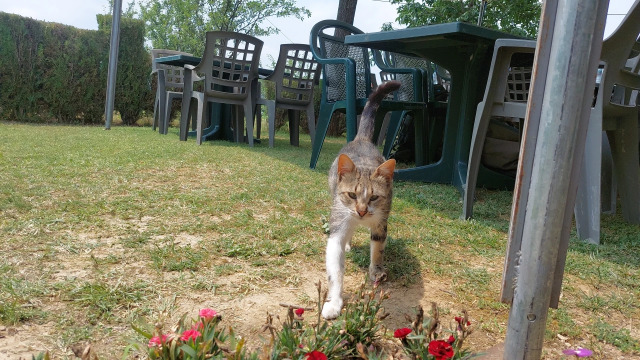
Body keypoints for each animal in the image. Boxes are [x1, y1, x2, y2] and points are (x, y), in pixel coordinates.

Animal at [320, 80, 400, 320]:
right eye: (352, 195)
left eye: (374, 196)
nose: (362, 211)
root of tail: (362, 139)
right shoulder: (339, 221)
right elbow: (335, 269)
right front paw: (334, 302)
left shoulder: (381, 222)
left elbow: (378, 248)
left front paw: (376, 270)